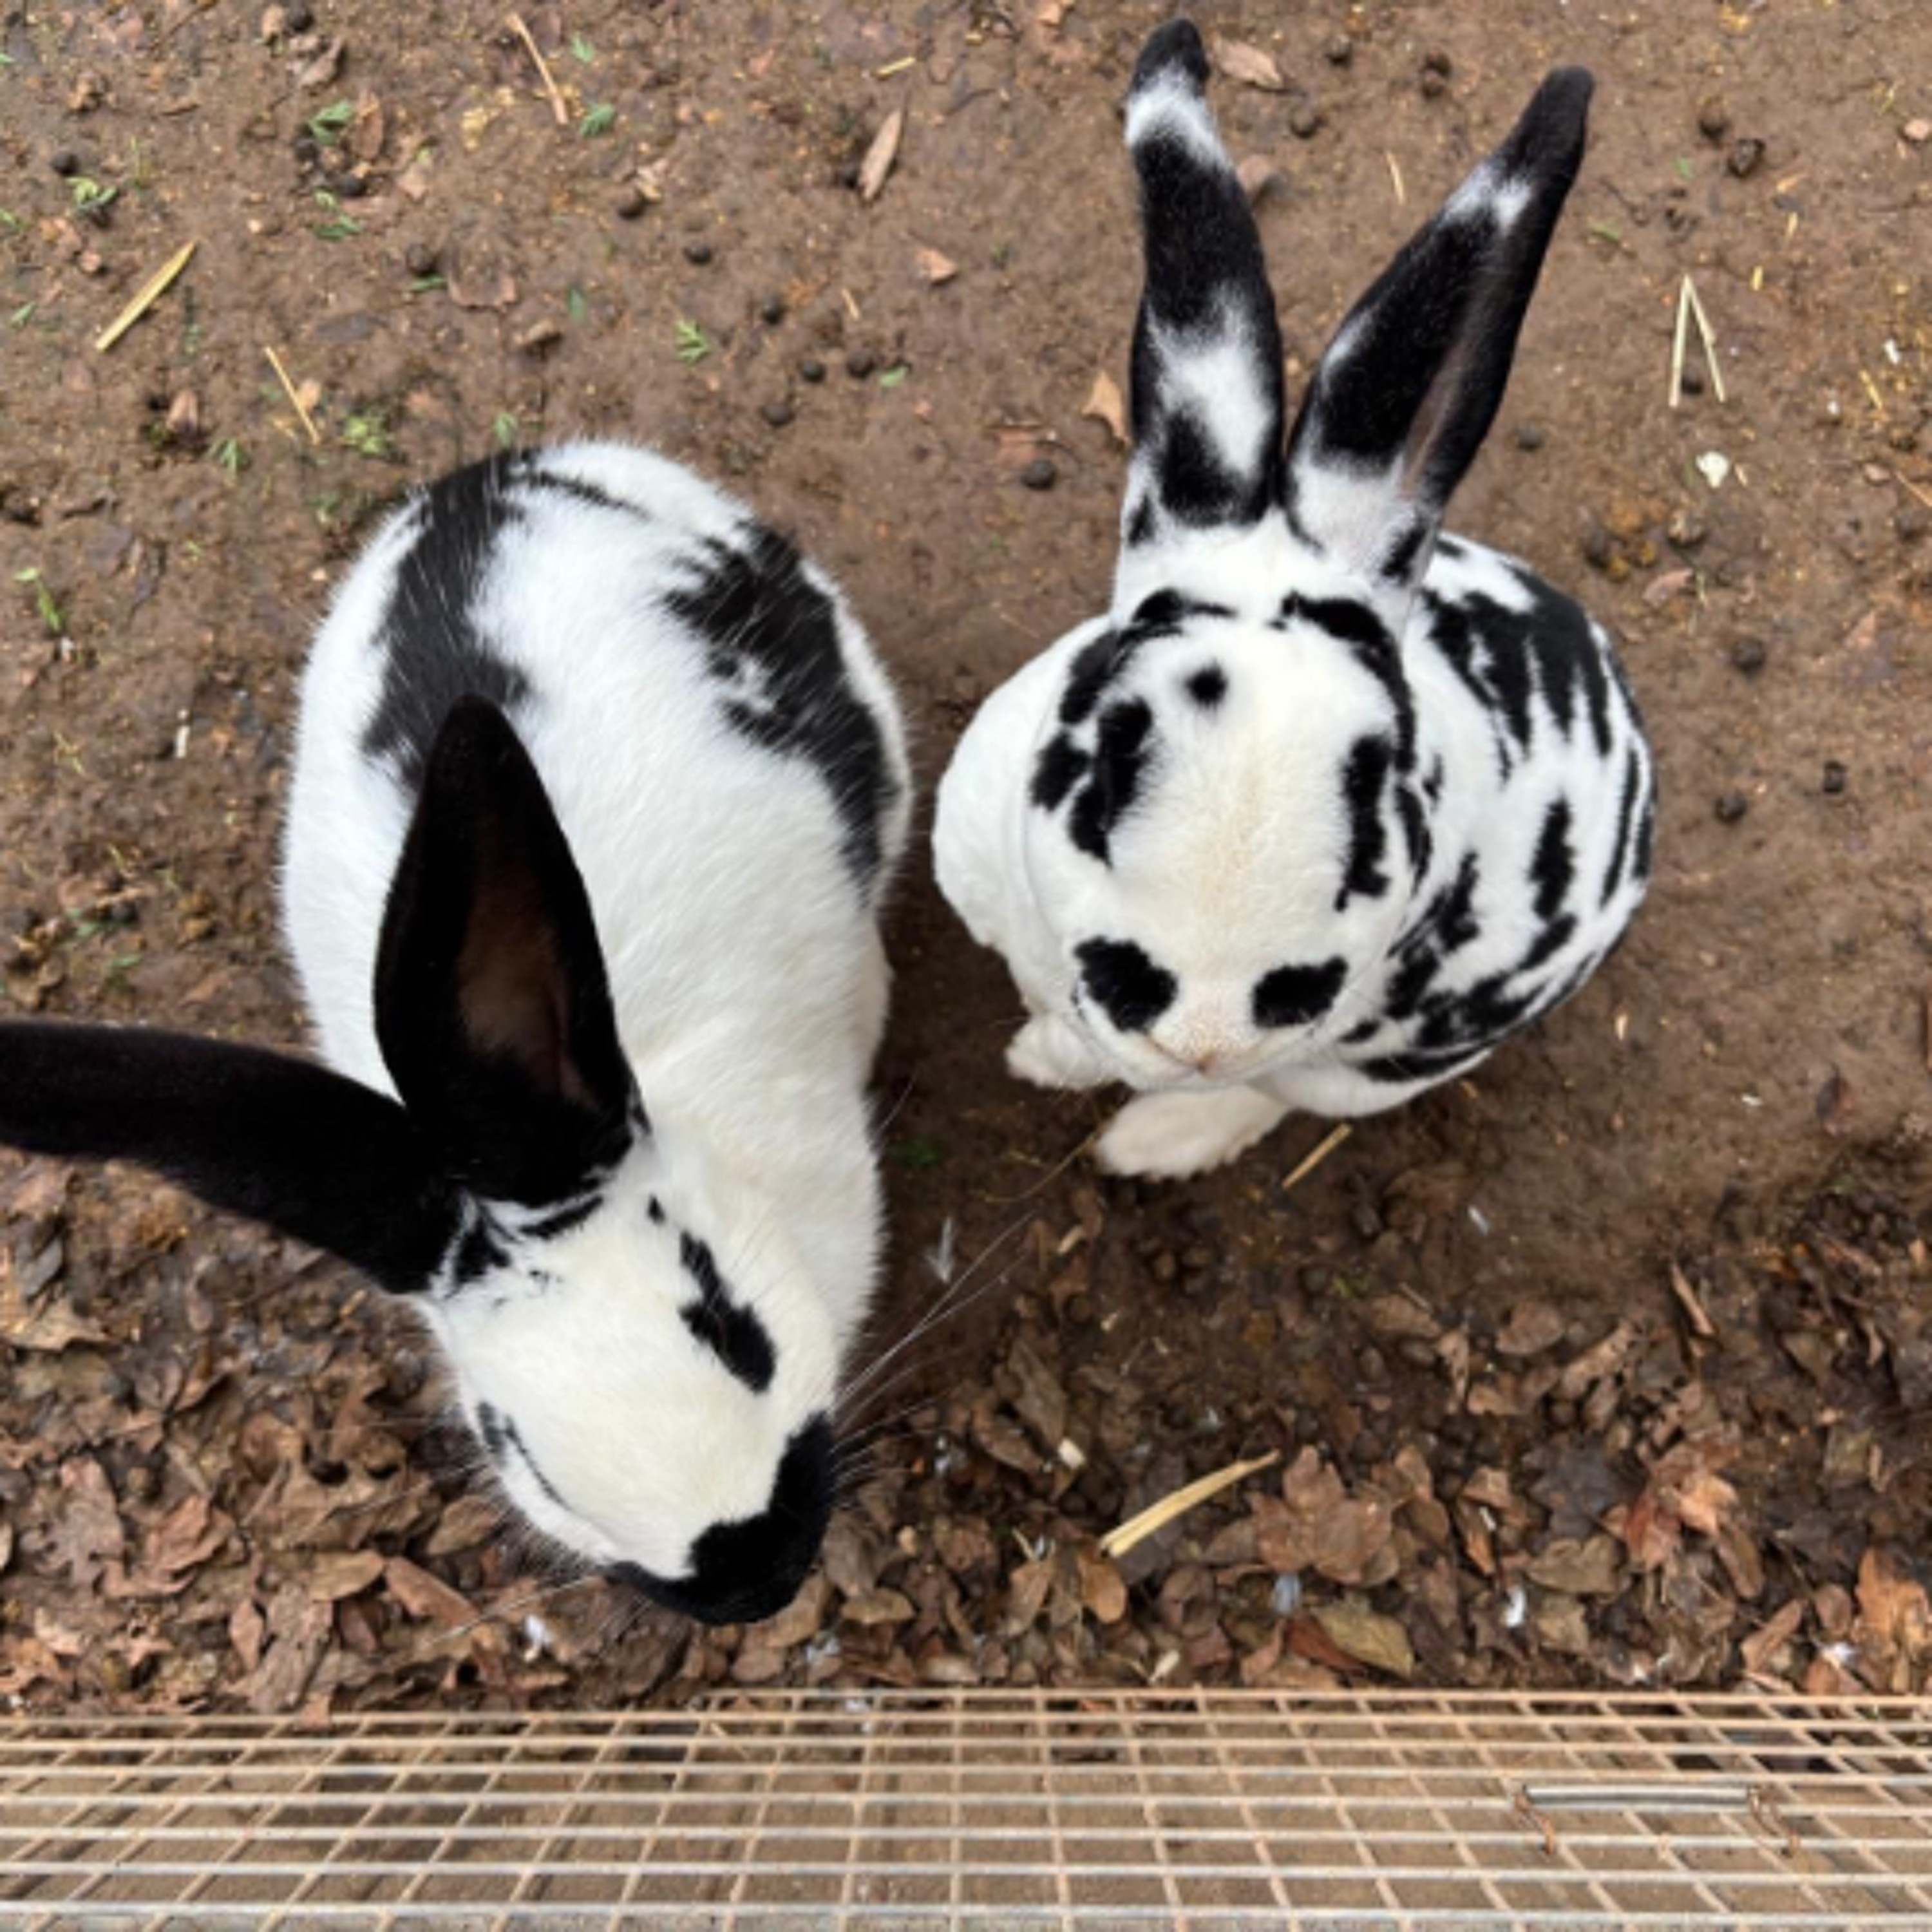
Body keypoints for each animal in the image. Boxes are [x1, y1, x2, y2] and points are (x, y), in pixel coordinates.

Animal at [935, 22, 1656, 1182]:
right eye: (1109, 758)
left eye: (1377, 799)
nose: (1204, 1030)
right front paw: (1046, 1054)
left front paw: (1061, 1073)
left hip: (1368, 1063)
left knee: (1281, 1099)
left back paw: (1151, 1143)